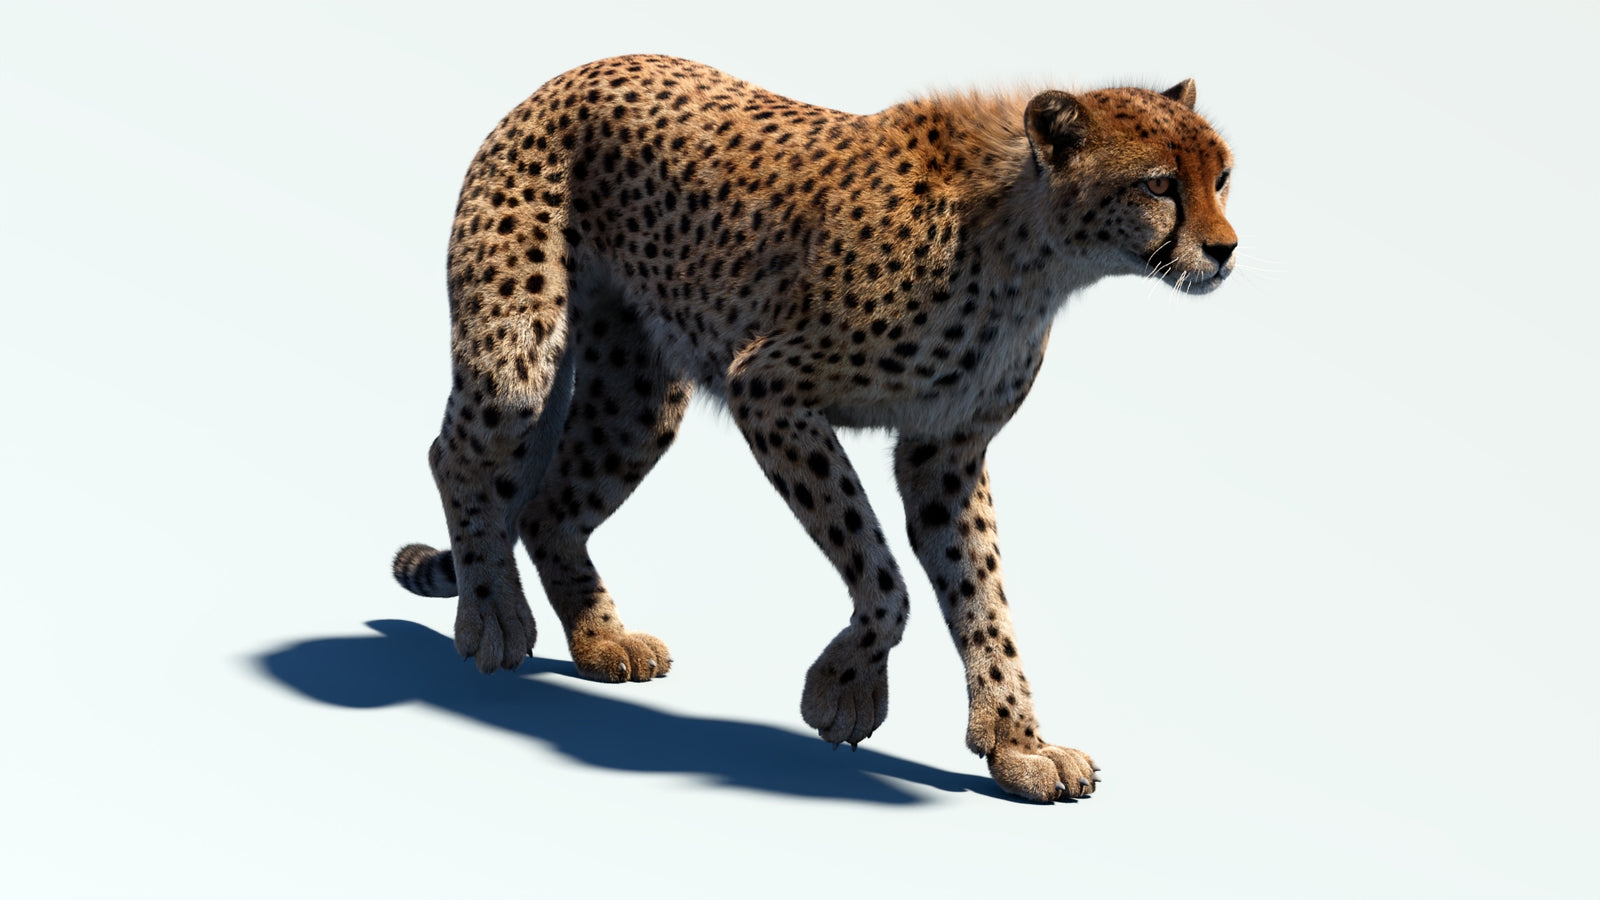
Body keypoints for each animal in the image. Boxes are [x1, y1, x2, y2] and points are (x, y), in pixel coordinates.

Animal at [392, 54, 1237, 803]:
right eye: (1159, 184)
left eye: (1222, 177)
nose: (1226, 250)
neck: (1034, 251)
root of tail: (577, 71)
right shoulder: (769, 388)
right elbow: (884, 574)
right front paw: (844, 689)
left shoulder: (946, 453)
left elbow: (984, 597)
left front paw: (1017, 743)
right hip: (519, 360)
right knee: (453, 455)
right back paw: (492, 614)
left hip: (638, 396)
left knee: (550, 506)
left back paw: (602, 639)